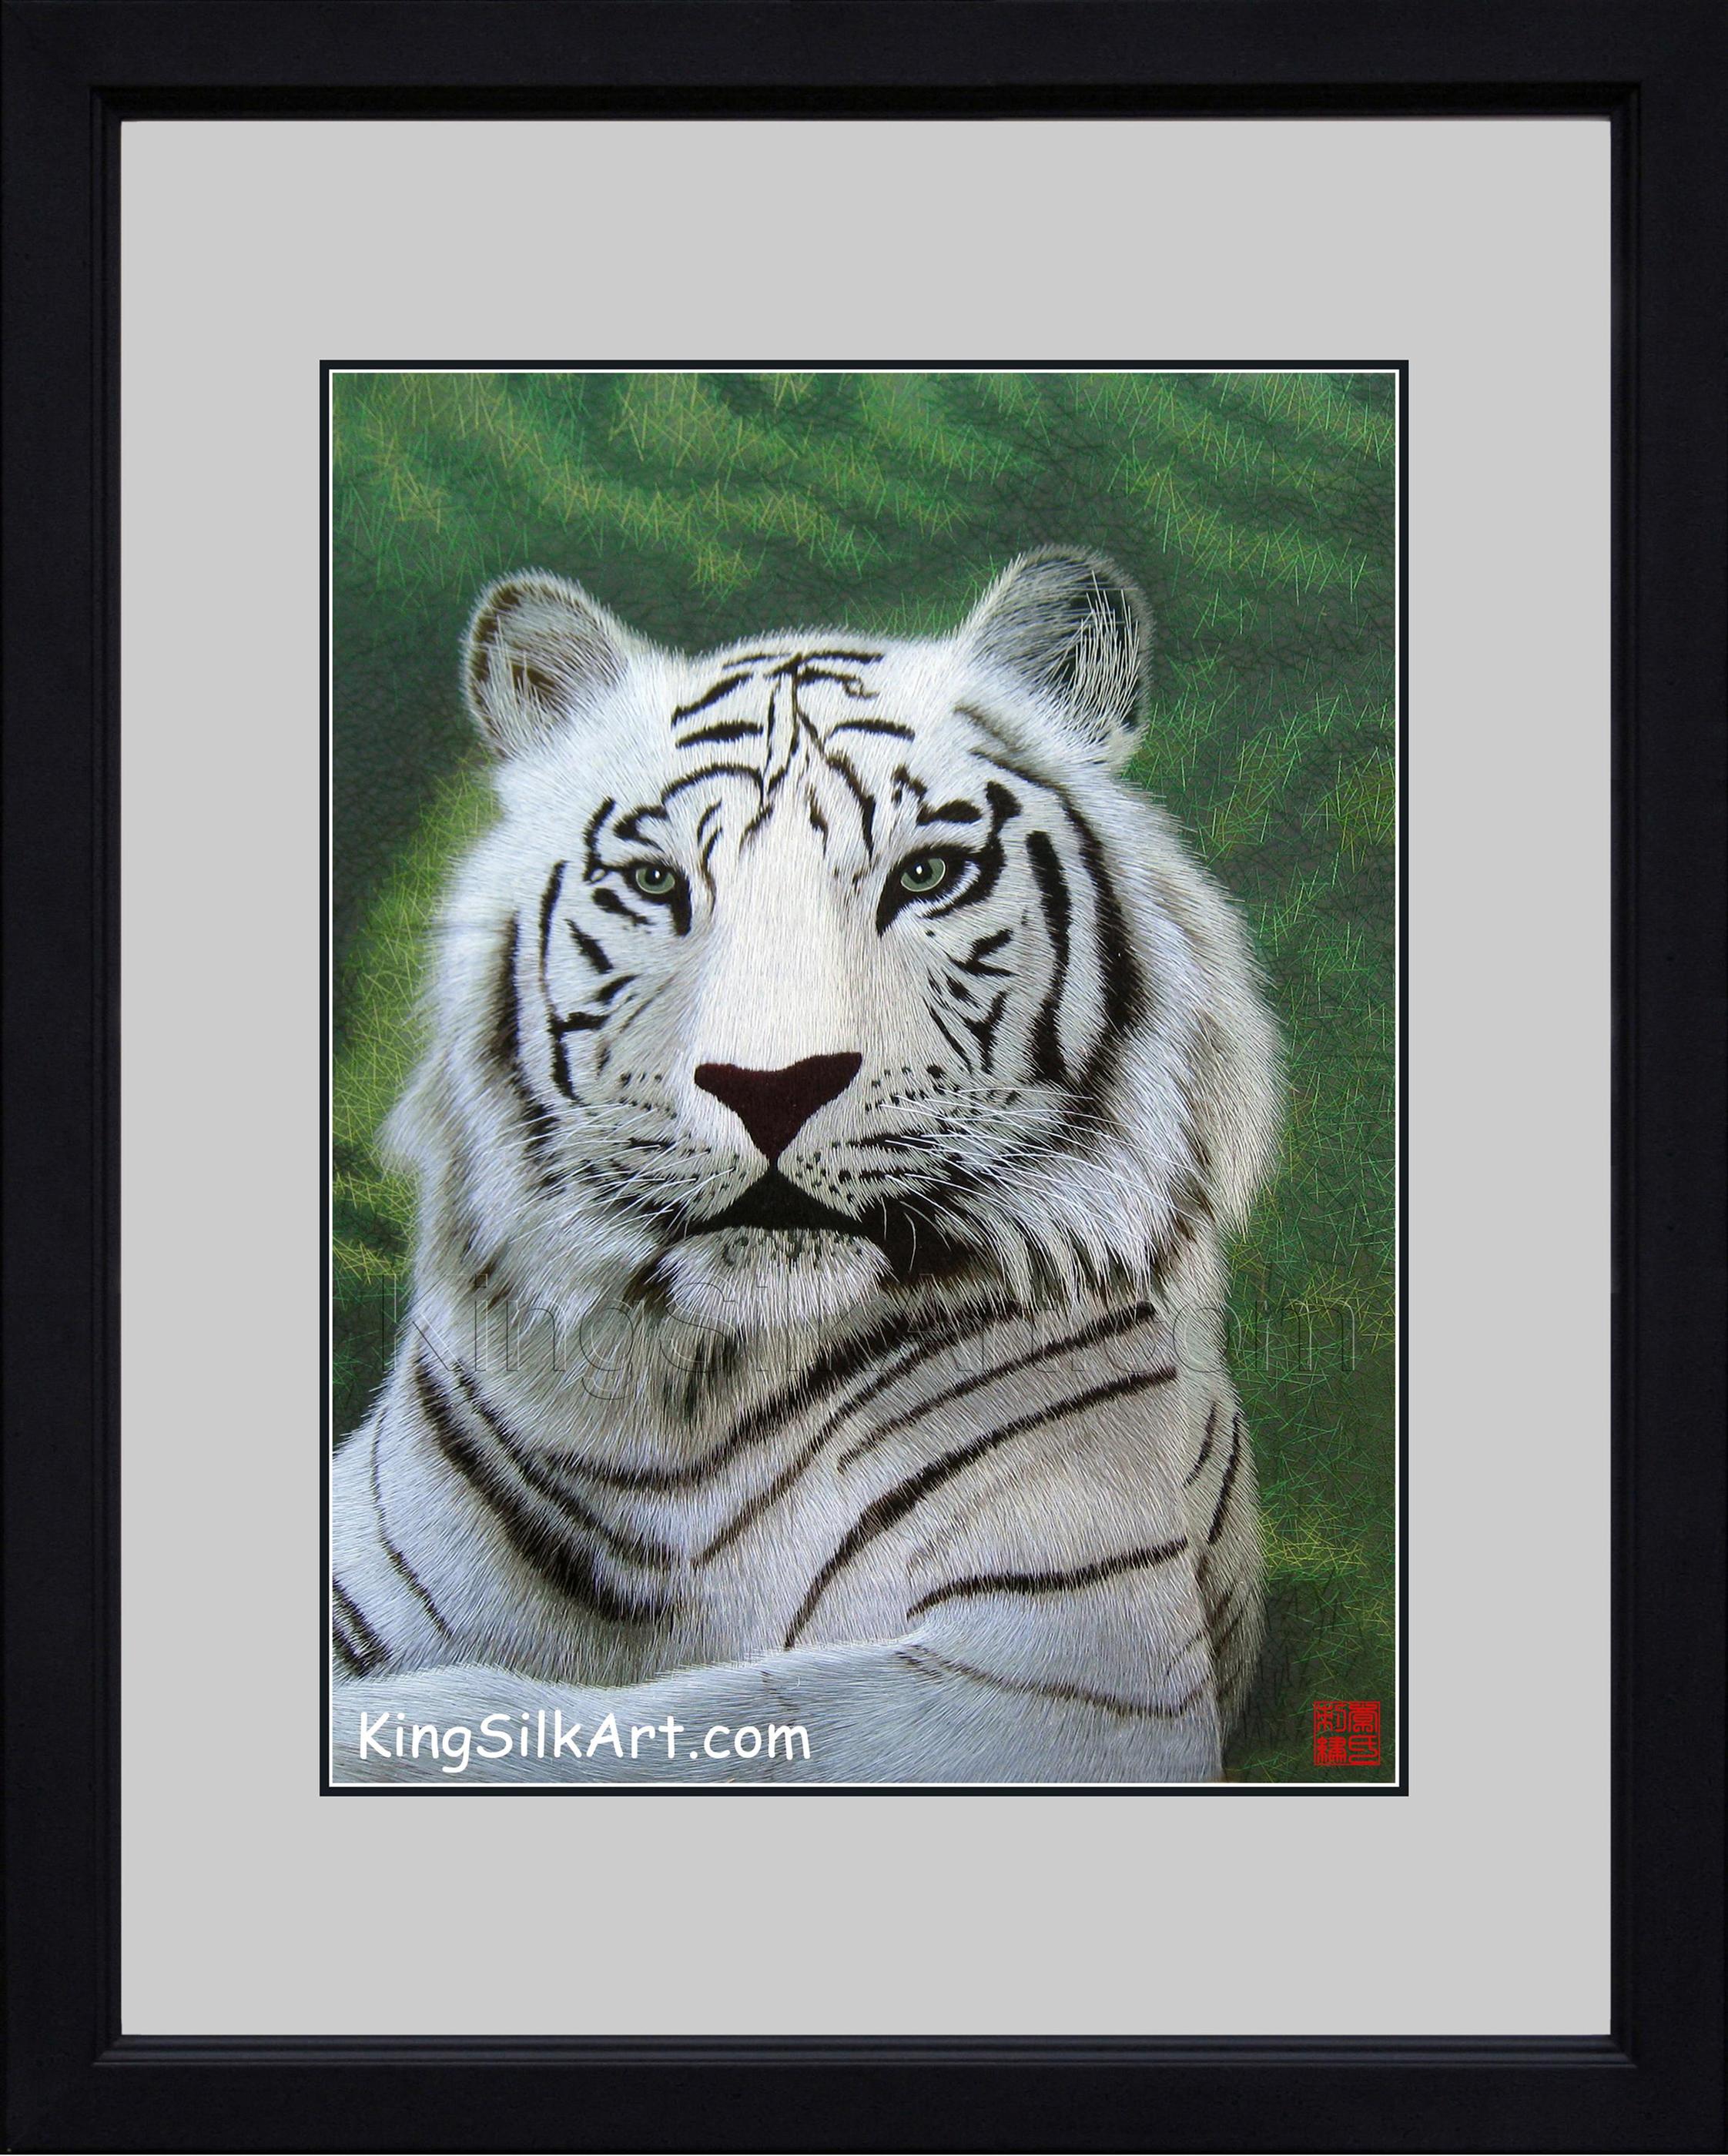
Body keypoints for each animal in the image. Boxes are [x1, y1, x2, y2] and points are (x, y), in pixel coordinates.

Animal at [330, 547, 1281, 1785]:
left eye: (925, 876)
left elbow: (686, 1728)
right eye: (657, 884)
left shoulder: (1070, 1670)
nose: (770, 1084)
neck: (689, 1400)